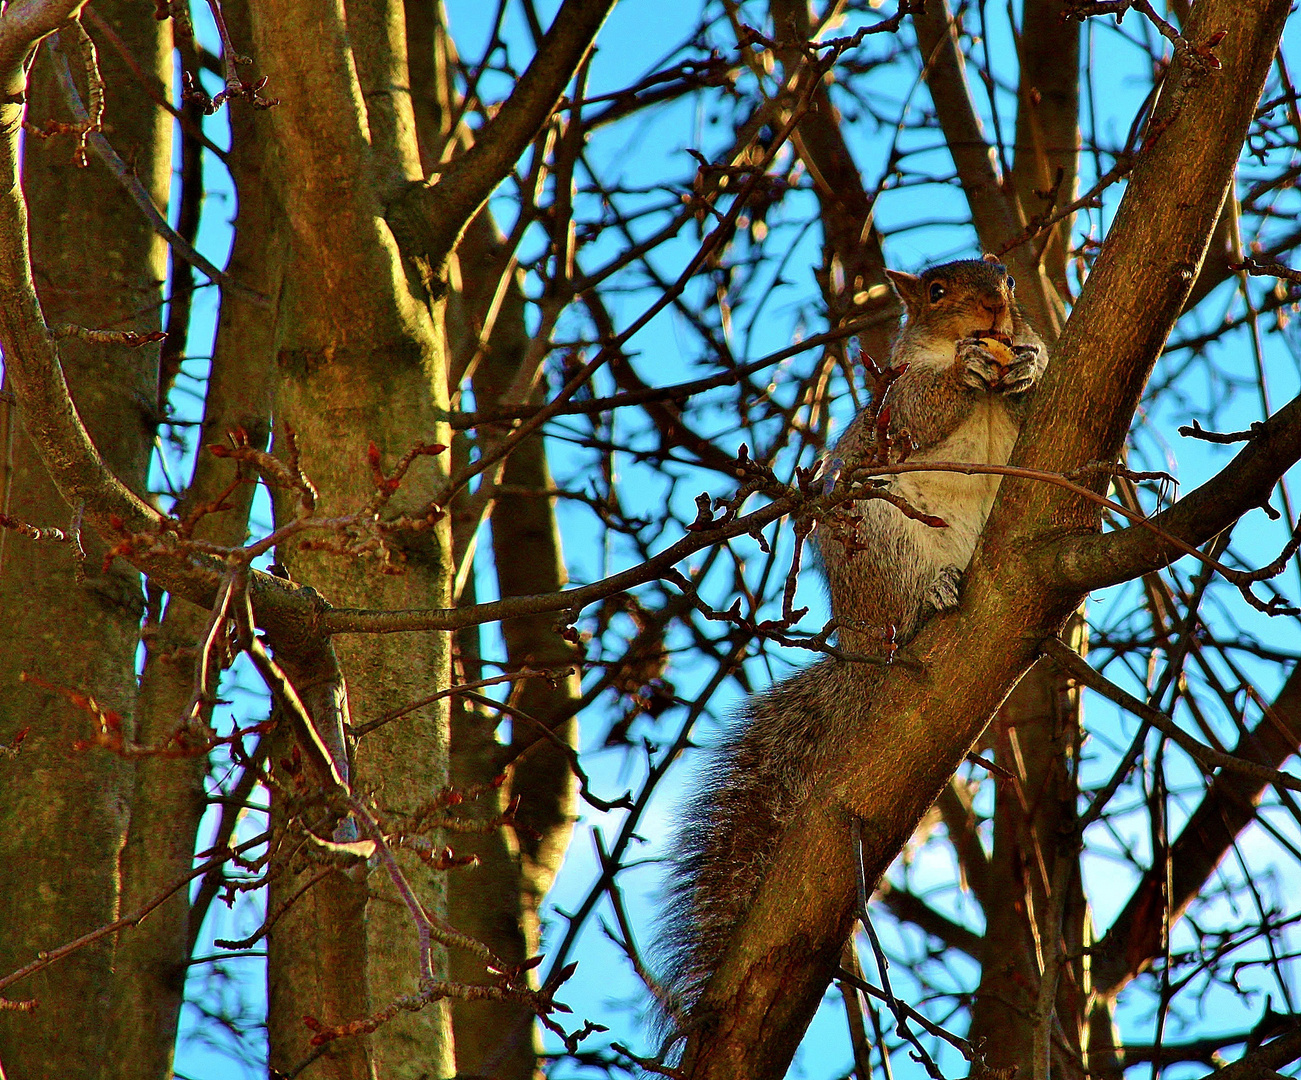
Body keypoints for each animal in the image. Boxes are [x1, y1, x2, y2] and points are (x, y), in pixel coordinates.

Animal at [660, 256, 1046, 1030]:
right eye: (935, 291)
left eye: (1010, 281)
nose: (994, 310)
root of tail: (861, 637)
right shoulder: (891, 408)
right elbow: (921, 410)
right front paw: (966, 371)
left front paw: (1028, 362)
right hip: (879, 534)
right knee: (907, 587)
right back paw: (934, 595)